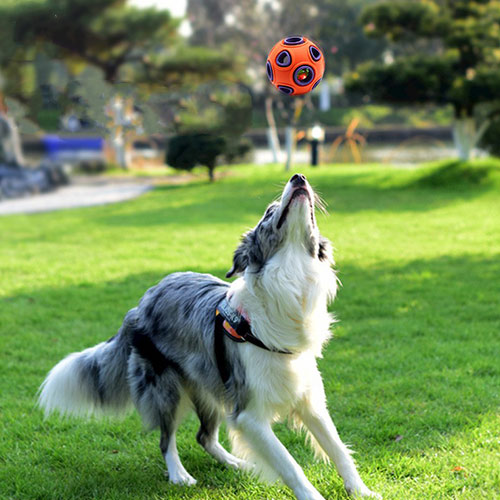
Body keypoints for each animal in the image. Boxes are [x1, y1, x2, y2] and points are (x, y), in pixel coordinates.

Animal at [39, 174, 380, 498]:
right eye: (269, 212)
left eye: (311, 215)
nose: (298, 177)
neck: (290, 277)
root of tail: (142, 302)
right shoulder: (249, 414)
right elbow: (289, 464)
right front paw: (313, 495)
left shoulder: (308, 399)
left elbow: (338, 448)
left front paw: (362, 491)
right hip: (167, 388)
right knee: (167, 438)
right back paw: (179, 475)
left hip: (209, 387)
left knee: (204, 436)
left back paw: (239, 464)